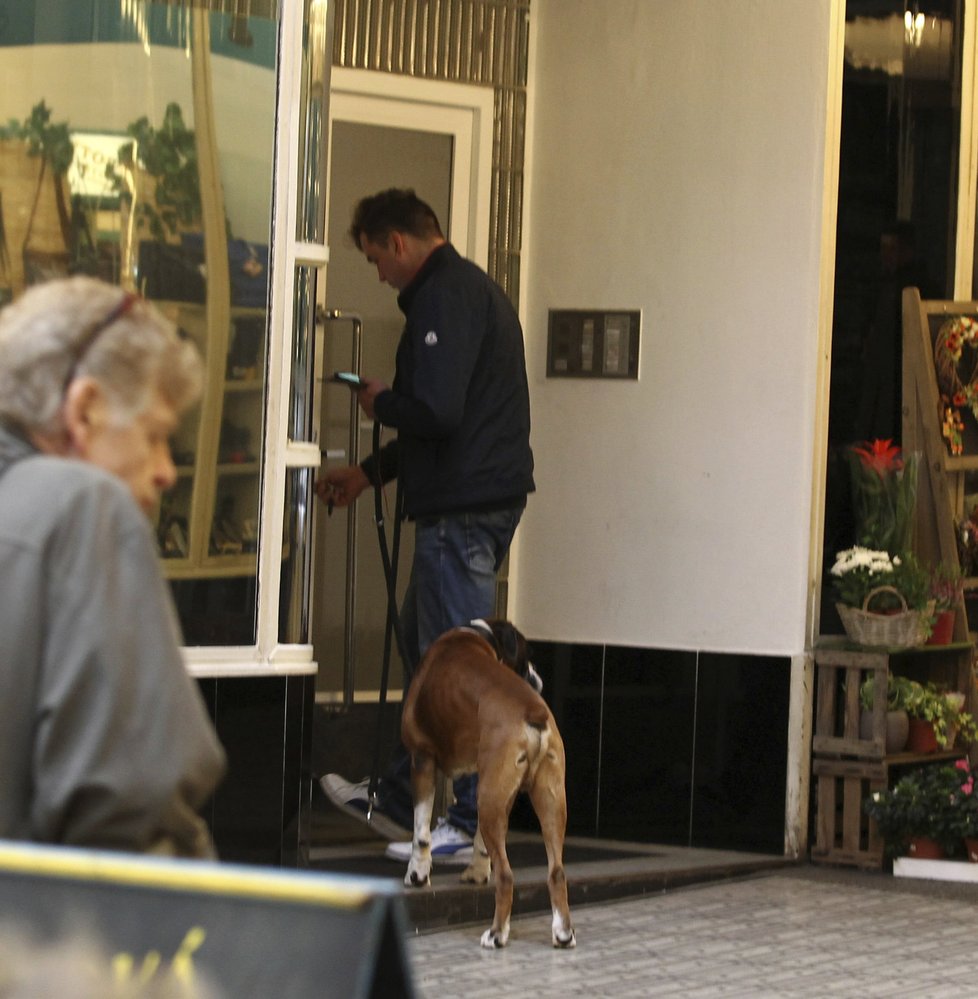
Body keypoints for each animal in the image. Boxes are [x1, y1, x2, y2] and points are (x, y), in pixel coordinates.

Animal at [400, 616, 576, 952]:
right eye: (527, 654)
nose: (538, 678)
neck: (478, 636)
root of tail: (533, 710)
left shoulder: (422, 759)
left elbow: (421, 832)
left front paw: (417, 873)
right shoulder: (487, 782)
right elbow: (481, 840)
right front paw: (477, 871)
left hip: (490, 799)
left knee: (506, 876)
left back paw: (497, 934)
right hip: (542, 800)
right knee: (557, 871)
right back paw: (562, 933)